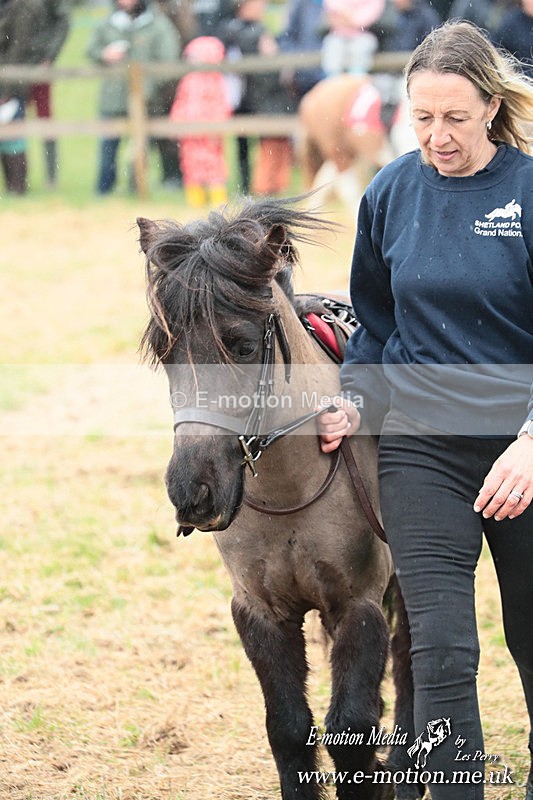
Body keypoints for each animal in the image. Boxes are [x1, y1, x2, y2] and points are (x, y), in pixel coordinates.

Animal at [137, 197, 417, 800]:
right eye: (165, 351)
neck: (293, 490)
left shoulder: (358, 603)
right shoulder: (259, 612)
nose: (193, 489)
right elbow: (289, 729)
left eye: (243, 346)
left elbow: (351, 729)